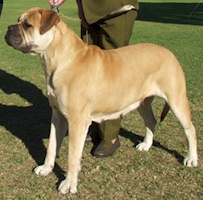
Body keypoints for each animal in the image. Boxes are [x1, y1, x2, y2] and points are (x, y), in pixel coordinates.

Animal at [4, 7, 197, 194]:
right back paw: (146, 145)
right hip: (142, 101)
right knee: (151, 121)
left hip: (176, 99)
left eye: (28, 25)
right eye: (19, 20)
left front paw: (69, 184)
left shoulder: (77, 121)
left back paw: (191, 159)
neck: (60, 59)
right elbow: (52, 146)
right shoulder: (58, 116)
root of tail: (168, 52)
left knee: (190, 130)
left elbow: (72, 156)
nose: (8, 28)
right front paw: (46, 168)